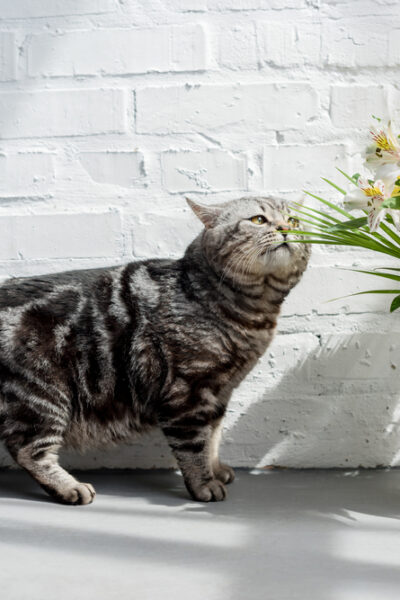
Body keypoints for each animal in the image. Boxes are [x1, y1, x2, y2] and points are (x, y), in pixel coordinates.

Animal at [0, 196, 310, 502]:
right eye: (258, 219)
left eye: (294, 220)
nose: (286, 228)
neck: (253, 315)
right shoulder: (188, 391)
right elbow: (194, 446)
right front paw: (204, 484)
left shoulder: (220, 392)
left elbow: (213, 436)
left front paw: (216, 469)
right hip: (43, 396)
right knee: (28, 450)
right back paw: (70, 488)